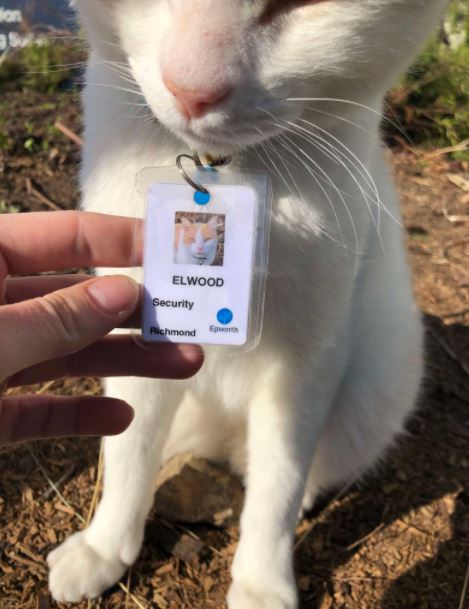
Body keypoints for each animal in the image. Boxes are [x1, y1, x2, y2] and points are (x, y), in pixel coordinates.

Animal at [47, 2, 446, 604]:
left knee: (303, 464)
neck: (226, 168)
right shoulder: (140, 328)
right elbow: (128, 446)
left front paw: (262, 579)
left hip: (373, 392)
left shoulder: (310, 356)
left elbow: (281, 475)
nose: (190, 89)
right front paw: (105, 544)